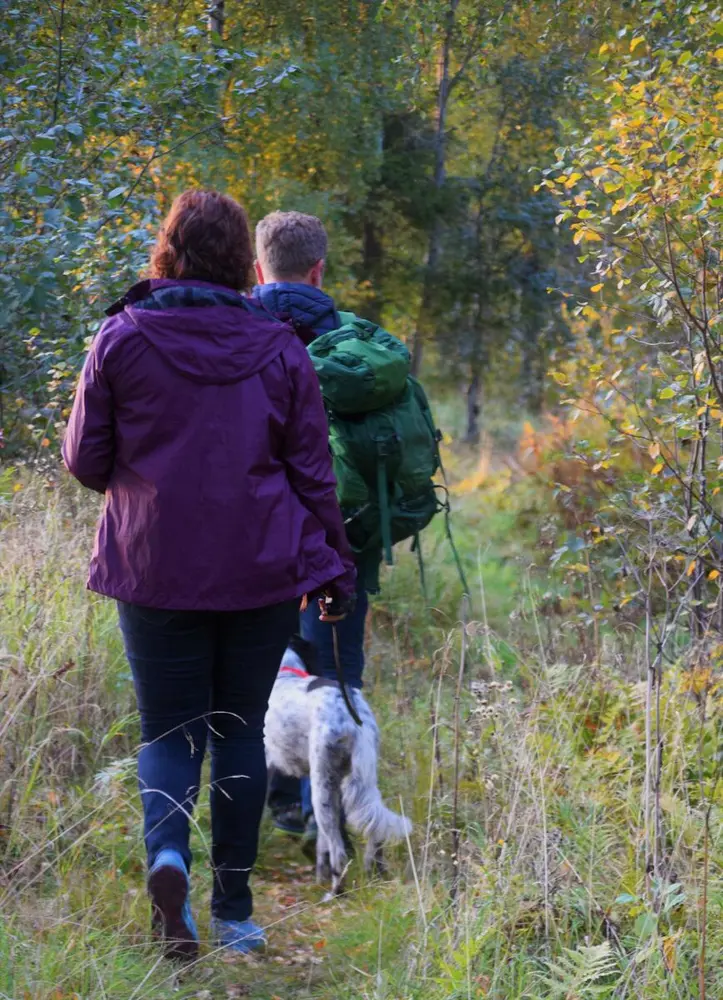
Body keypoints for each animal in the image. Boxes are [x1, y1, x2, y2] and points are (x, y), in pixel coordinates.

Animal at [266, 636, 412, 896]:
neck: (285, 675)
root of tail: (352, 717)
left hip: (323, 786)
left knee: (337, 849)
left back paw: (335, 892)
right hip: (357, 778)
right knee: (371, 831)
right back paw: (374, 874)